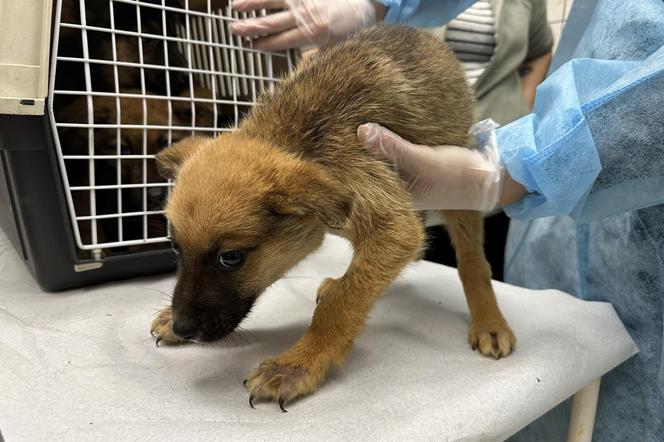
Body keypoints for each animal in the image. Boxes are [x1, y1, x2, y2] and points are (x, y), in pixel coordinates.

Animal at [152, 25, 520, 408]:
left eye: (231, 258)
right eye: (175, 247)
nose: (182, 328)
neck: (298, 140)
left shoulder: (389, 220)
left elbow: (342, 306)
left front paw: (299, 364)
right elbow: (358, 285)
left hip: (461, 190)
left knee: (471, 261)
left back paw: (489, 321)